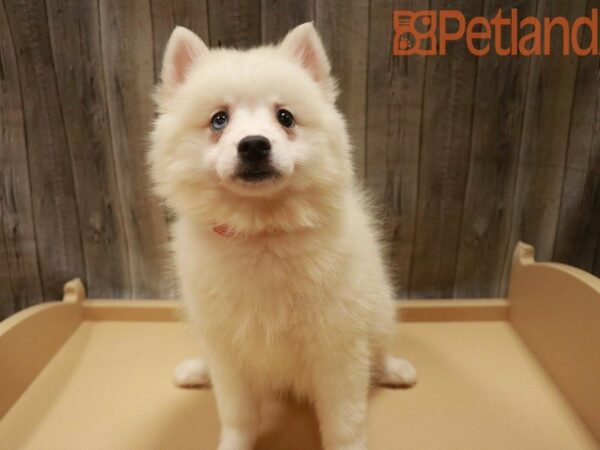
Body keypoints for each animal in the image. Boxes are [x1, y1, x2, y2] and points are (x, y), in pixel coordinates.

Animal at [148, 23, 414, 450]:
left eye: (285, 117)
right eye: (219, 120)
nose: (255, 144)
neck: (261, 232)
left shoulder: (338, 348)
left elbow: (345, 421)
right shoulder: (229, 353)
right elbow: (237, 416)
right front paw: (232, 444)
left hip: (380, 309)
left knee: (380, 348)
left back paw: (393, 369)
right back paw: (197, 370)